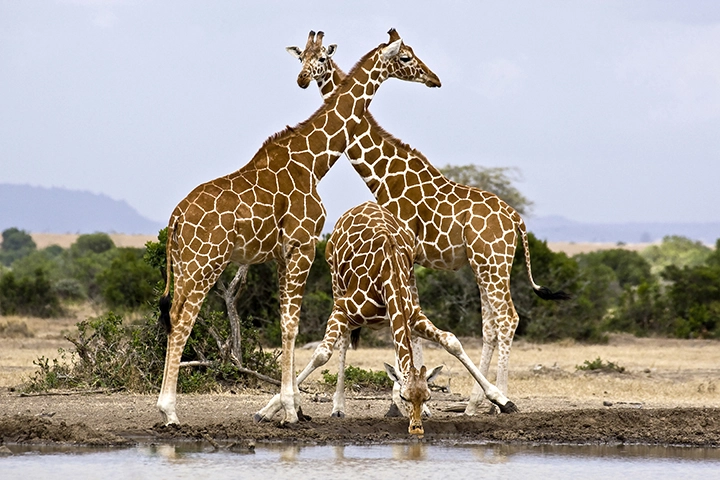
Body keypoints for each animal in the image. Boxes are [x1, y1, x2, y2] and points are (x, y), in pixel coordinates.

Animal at [156, 29, 441, 425]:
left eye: (320, 57)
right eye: (406, 58)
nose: (434, 79)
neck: (314, 161)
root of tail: (177, 216)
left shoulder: (281, 253)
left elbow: (285, 323)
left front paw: (292, 407)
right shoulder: (303, 243)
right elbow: (292, 324)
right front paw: (290, 409)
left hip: (184, 265)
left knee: (172, 317)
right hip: (205, 262)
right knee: (183, 321)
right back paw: (169, 412)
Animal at [254, 201, 517, 435]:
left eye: (427, 396)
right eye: (405, 396)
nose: (416, 428)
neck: (388, 274)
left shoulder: (413, 315)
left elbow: (452, 341)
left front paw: (503, 400)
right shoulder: (341, 310)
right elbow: (321, 354)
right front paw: (271, 409)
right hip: (334, 281)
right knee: (343, 343)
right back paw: (338, 407)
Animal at [287, 32, 569, 416]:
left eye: (320, 59)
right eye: (301, 56)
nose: (302, 79)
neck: (388, 179)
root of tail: (517, 222)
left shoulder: (406, 256)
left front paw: (401, 397)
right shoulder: (407, 260)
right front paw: (406, 394)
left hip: (492, 261)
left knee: (508, 318)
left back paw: (499, 400)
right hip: (486, 264)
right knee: (491, 326)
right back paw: (475, 403)